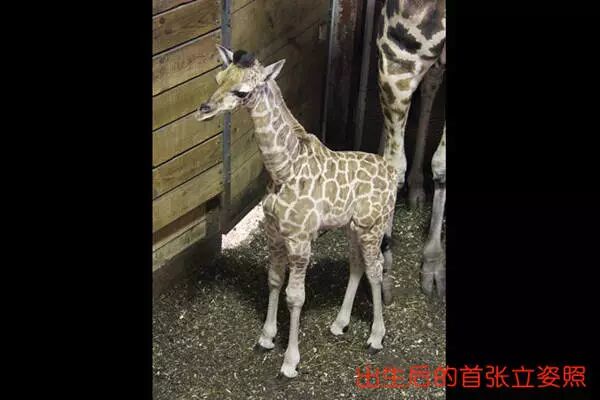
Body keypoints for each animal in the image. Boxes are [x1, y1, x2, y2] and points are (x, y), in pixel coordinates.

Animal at [195, 46, 398, 378]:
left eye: (242, 92)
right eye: (217, 78)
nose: (204, 109)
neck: (283, 170)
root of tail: (393, 174)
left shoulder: (300, 240)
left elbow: (295, 296)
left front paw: (290, 362)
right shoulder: (274, 234)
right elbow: (274, 280)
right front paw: (266, 337)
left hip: (373, 226)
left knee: (375, 268)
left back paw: (376, 337)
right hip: (353, 227)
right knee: (356, 265)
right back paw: (339, 324)